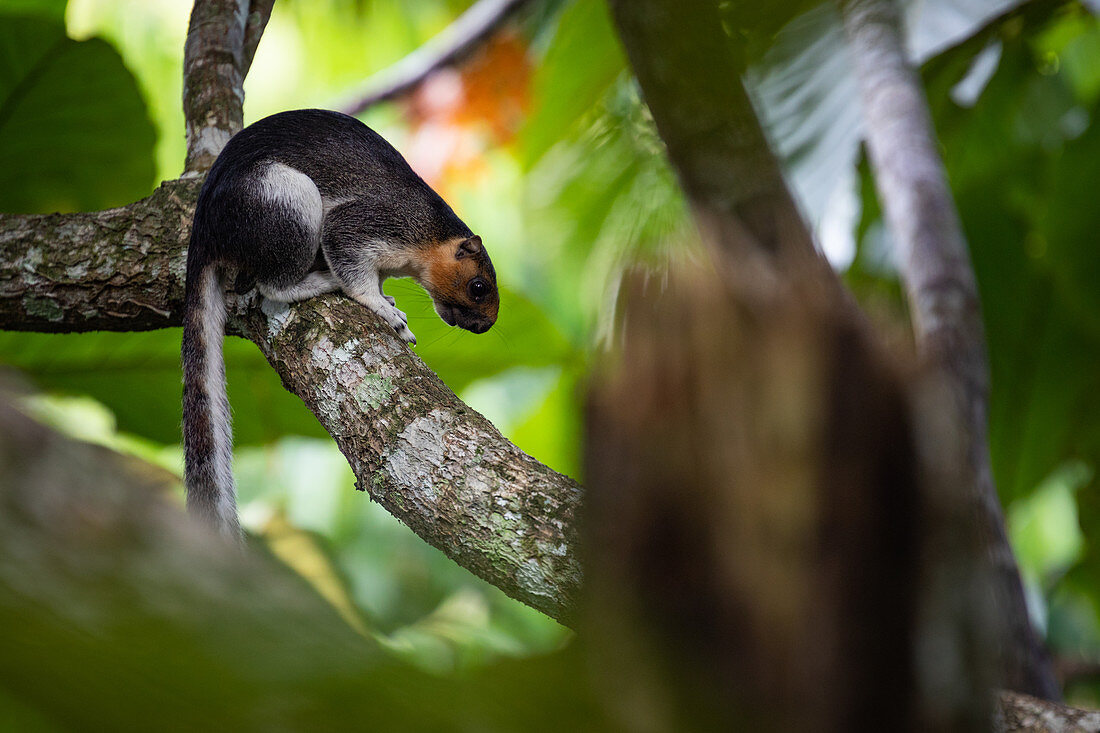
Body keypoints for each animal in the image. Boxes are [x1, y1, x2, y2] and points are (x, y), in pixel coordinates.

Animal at [182, 108, 501, 534]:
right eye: (478, 287)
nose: (484, 326)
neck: (431, 236)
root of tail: (204, 232)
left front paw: (385, 296)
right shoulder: (370, 224)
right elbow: (352, 265)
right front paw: (383, 308)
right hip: (286, 199)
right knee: (272, 285)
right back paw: (318, 281)